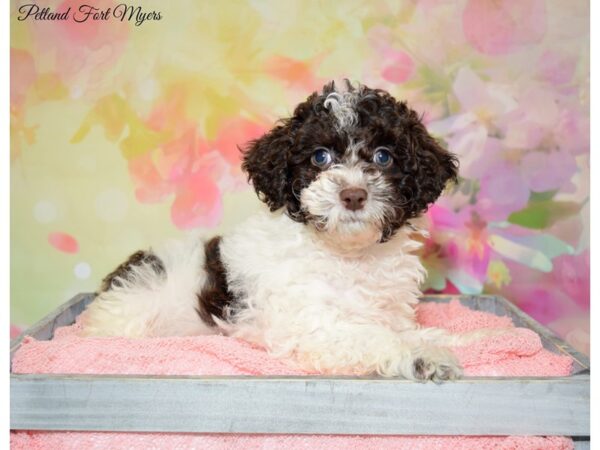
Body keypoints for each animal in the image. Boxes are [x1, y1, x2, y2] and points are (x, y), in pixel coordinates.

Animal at [83, 80, 496, 380]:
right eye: (320, 157)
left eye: (383, 156)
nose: (353, 195)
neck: (348, 255)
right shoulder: (313, 327)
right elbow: (375, 338)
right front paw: (422, 357)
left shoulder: (388, 313)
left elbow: (408, 329)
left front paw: (474, 338)